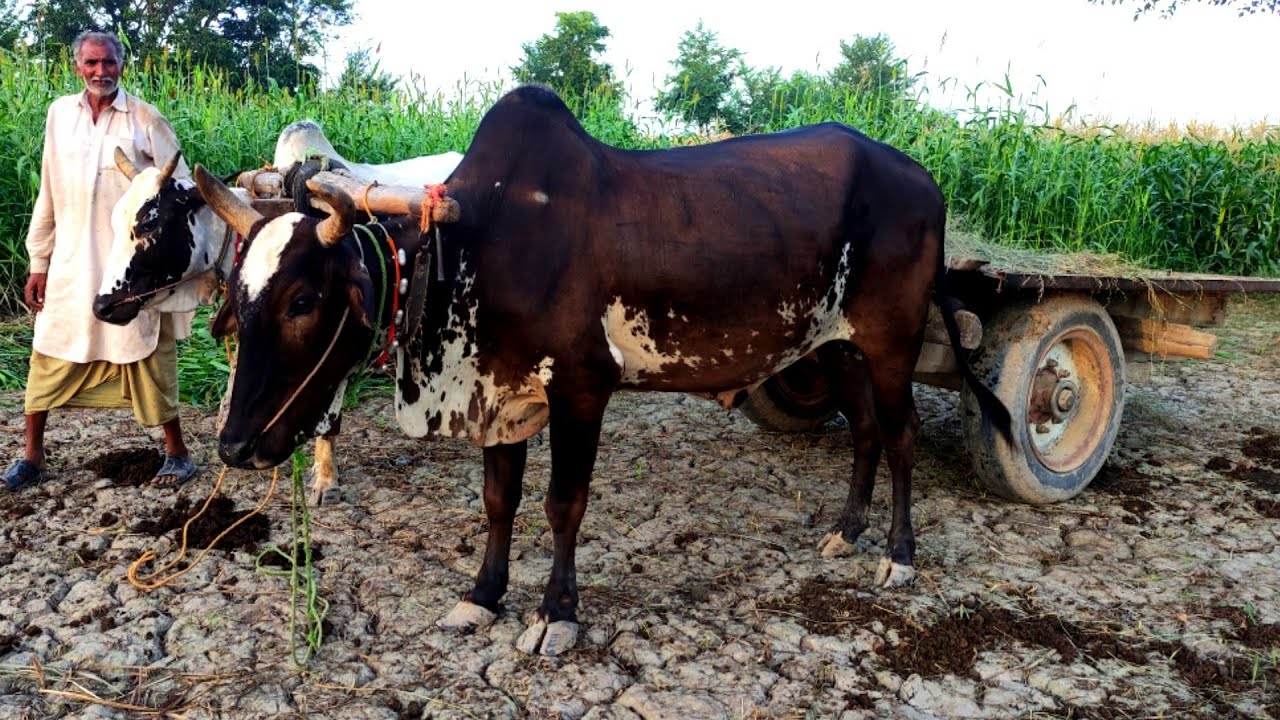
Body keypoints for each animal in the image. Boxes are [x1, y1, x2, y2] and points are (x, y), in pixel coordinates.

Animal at [194, 85, 1013, 656]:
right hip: (832, 345)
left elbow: (564, 504)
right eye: (236, 294)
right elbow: (498, 502)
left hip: (892, 342)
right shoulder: (501, 394)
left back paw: (899, 558)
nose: (234, 445)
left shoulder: (582, 388)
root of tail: (920, 177)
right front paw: (483, 596)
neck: (474, 240)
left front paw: (556, 615)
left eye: (304, 299)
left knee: (902, 434)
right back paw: (847, 531)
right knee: (867, 430)